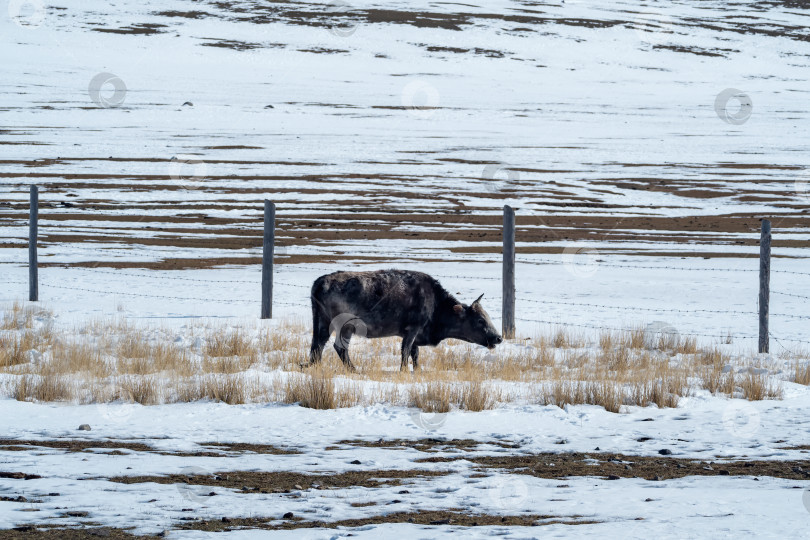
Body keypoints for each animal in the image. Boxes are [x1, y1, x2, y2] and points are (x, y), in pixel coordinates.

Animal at [308, 270, 502, 372]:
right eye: (480, 320)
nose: (498, 337)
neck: (435, 303)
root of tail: (320, 282)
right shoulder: (412, 330)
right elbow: (406, 351)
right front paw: (404, 370)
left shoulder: (415, 334)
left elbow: (415, 354)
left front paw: (417, 370)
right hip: (345, 327)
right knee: (339, 347)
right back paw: (354, 370)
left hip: (322, 322)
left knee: (318, 345)